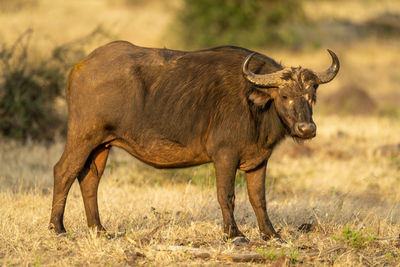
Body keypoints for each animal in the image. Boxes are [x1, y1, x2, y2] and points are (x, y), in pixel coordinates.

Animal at [48, 42, 340, 243]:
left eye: (311, 96)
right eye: (285, 96)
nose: (306, 129)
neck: (254, 104)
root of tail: (80, 67)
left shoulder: (259, 160)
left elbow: (259, 198)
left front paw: (271, 234)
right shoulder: (225, 156)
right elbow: (227, 195)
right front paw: (234, 234)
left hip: (102, 145)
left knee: (89, 180)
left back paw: (99, 229)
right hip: (83, 137)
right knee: (63, 172)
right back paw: (57, 228)